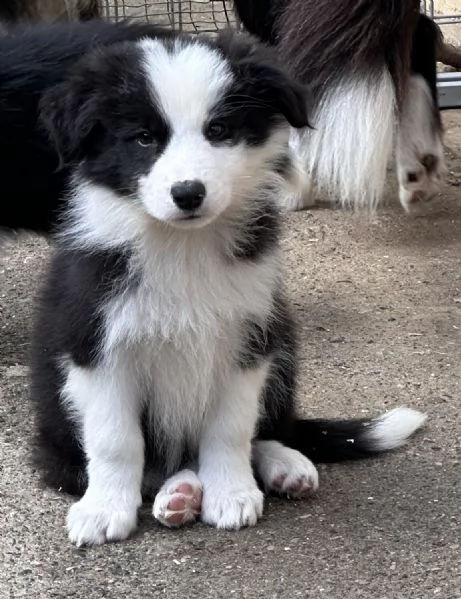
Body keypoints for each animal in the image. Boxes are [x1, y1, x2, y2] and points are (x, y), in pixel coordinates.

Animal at [30, 29, 426, 548]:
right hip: (56, 415)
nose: (188, 193)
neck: (183, 246)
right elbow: (116, 438)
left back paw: (280, 466)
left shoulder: (247, 337)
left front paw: (232, 493)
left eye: (218, 130)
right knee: (137, 463)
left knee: (261, 431)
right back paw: (178, 493)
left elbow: (231, 428)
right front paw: (104, 509)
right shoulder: (94, 344)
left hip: (283, 344)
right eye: (143, 138)